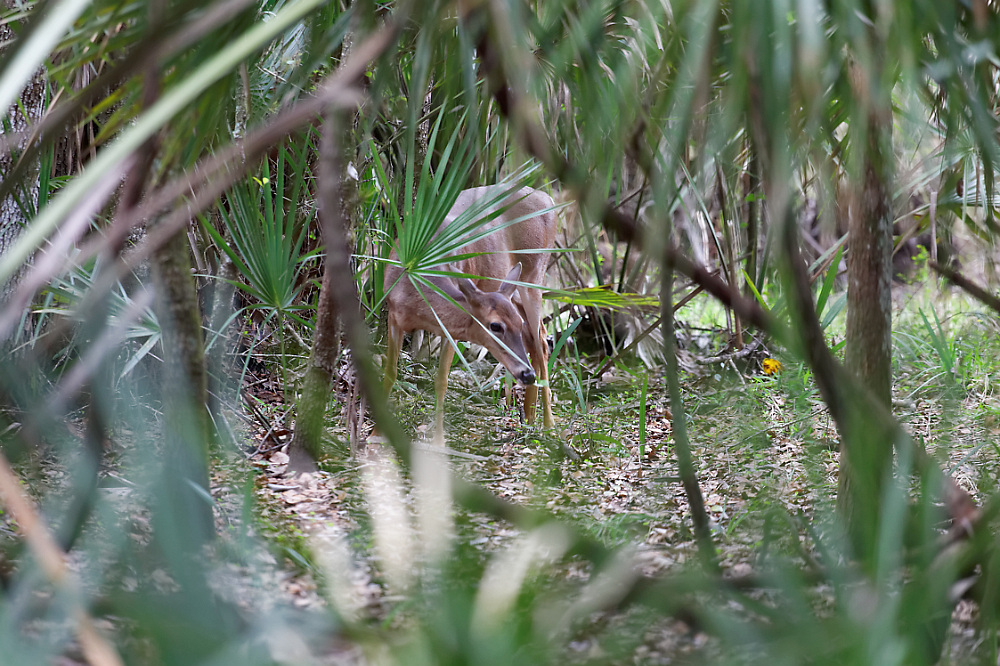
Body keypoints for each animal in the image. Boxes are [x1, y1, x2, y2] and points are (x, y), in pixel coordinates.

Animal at [382, 185, 560, 436]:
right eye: (495, 325)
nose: (526, 374)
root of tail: (548, 198)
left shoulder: (452, 328)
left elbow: (442, 381)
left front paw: (438, 440)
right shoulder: (394, 315)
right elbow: (390, 372)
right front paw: (375, 435)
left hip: (535, 275)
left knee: (541, 340)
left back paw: (548, 422)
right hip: (513, 288)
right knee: (535, 339)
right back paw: (530, 416)